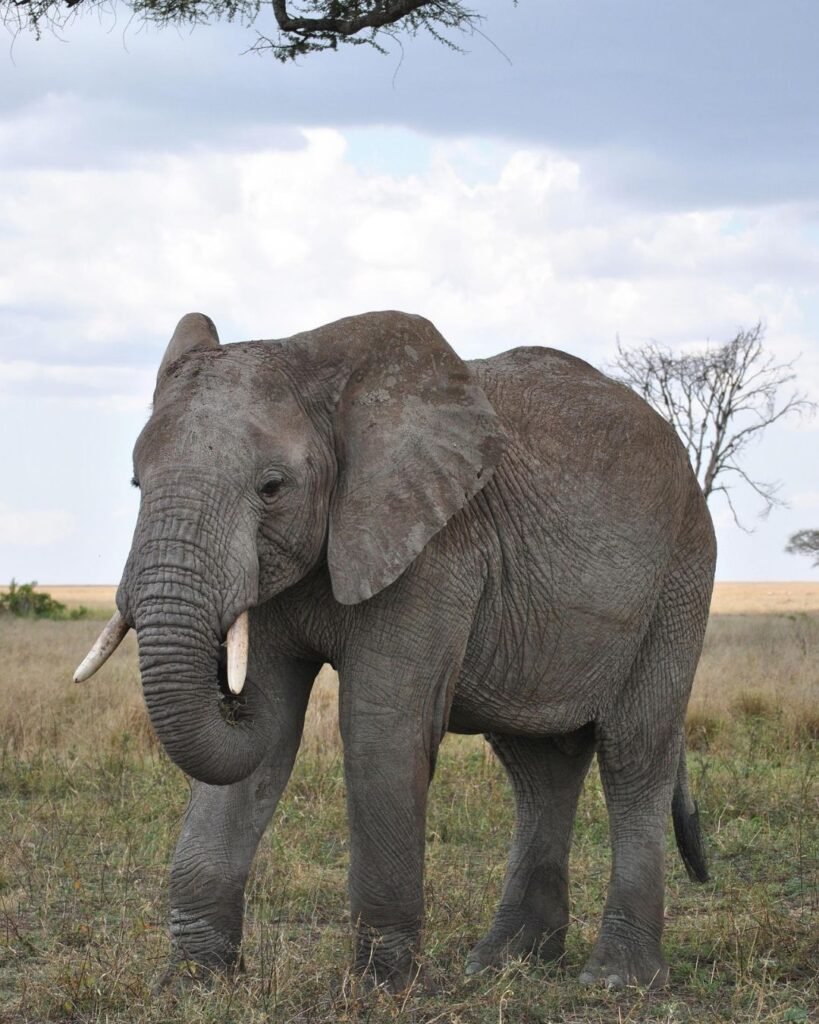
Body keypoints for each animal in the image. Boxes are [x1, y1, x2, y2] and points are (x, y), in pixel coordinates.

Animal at [76, 309, 714, 992]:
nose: (224, 682)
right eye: (137, 482)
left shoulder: (434, 548)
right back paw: (501, 965)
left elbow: (378, 728)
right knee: (540, 768)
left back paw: (618, 980)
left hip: (679, 575)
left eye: (272, 487)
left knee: (634, 752)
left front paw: (381, 989)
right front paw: (195, 982)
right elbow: (269, 733)